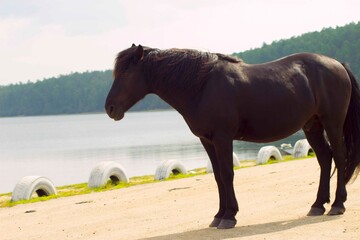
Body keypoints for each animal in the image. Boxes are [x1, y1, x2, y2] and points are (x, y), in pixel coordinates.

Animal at [105, 44, 360, 229]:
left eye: (126, 74)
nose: (110, 108)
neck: (202, 86)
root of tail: (338, 64)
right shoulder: (207, 141)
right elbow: (218, 177)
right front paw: (218, 215)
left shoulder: (222, 138)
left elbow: (228, 174)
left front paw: (229, 217)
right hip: (312, 126)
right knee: (325, 159)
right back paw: (318, 205)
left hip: (332, 123)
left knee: (339, 157)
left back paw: (338, 204)